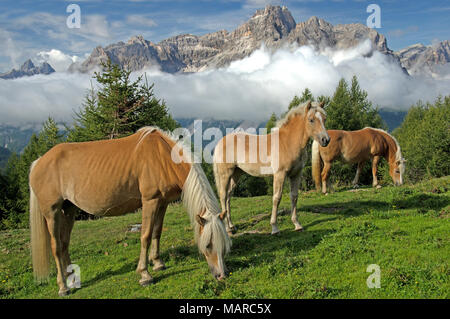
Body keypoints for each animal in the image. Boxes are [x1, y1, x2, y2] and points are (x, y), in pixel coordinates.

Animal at [28, 127, 232, 298]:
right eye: (207, 245)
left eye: (224, 244)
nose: (222, 276)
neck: (162, 156)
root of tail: (38, 162)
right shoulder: (150, 201)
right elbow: (146, 236)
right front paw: (145, 275)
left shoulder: (162, 203)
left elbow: (157, 232)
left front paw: (158, 263)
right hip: (52, 213)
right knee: (56, 247)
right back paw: (63, 287)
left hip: (68, 210)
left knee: (64, 244)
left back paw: (72, 279)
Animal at [213, 101, 328, 236]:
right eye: (311, 120)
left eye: (324, 118)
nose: (325, 140)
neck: (287, 142)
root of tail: (220, 142)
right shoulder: (280, 174)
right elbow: (276, 198)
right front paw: (274, 228)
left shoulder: (296, 174)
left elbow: (294, 196)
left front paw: (297, 225)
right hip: (225, 174)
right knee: (223, 196)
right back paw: (227, 228)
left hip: (236, 173)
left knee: (229, 196)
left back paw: (232, 226)